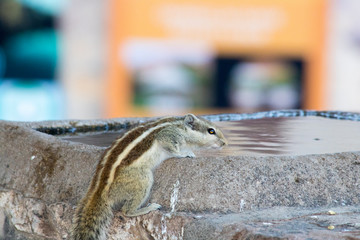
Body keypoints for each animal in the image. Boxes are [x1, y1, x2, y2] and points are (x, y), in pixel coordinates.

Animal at [71, 113, 226, 239]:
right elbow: (171, 147)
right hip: (142, 179)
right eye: (211, 131)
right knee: (126, 211)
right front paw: (184, 154)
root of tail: (101, 190)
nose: (225, 143)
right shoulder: (168, 135)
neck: (180, 125)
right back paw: (148, 208)